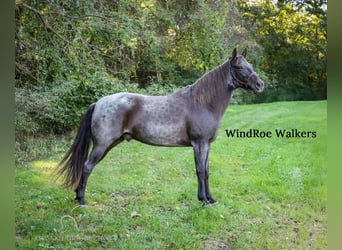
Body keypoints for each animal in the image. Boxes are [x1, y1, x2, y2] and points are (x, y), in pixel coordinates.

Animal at [56, 47, 264, 206]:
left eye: (251, 66)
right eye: (239, 66)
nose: (260, 84)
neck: (203, 103)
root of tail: (98, 103)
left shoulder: (207, 145)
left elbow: (206, 172)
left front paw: (210, 199)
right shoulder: (199, 144)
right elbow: (200, 171)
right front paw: (203, 200)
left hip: (109, 144)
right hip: (101, 145)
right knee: (87, 167)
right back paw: (82, 201)